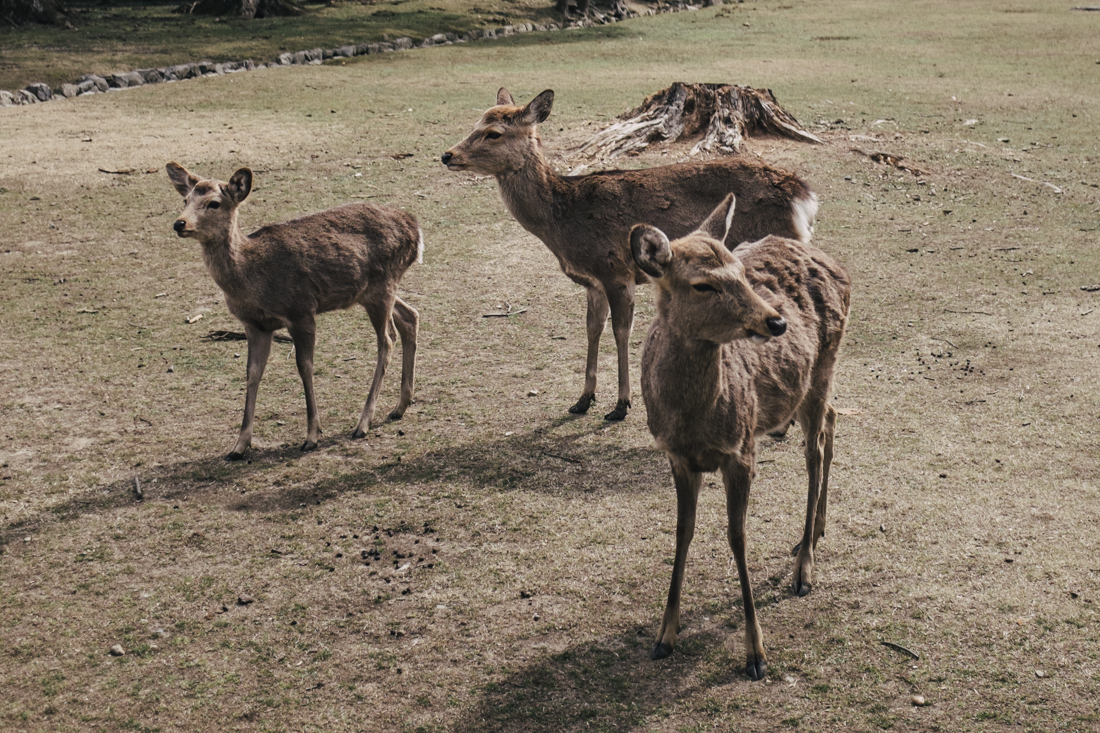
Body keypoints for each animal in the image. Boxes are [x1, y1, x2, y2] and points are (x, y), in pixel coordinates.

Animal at [166, 162, 420, 460]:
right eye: (185, 200)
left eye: (213, 203)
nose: (180, 223)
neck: (252, 278)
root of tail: (415, 229)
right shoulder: (255, 325)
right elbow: (252, 373)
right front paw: (239, 445)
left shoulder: (301, 310)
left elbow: (304, 366)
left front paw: (312, 436)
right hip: (374, 291)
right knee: (410, 316)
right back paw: (400, 406)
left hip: (381, 286)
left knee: (387, 340)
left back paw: (363, 423)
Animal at [440, 89, 818, 422]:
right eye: (476, 122)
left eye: (493, 133)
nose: (447, 155)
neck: (562, 221)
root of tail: (803, 196)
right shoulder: (591, 281)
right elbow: (592, 328)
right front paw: (583, 399)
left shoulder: (616, 270)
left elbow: (622, 331)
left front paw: (621, 405)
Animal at [629, 191, 849, 677]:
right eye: (702, 285)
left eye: (741, 273)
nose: (776, 322)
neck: (694, 421)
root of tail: (834, 263)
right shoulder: (675, 456)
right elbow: (683, 530)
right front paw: (664, 635)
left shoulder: (741, 448)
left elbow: (737, 536)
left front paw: (756, 652)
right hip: (808, 386)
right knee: (832, 420)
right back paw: (816, 530)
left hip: (824, 364)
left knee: (815, 449)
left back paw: (804, 567)